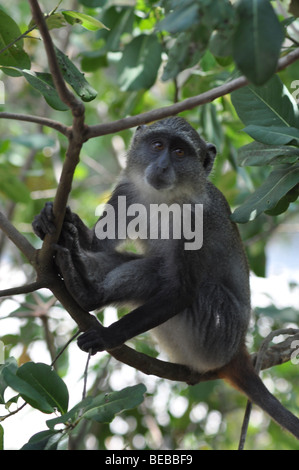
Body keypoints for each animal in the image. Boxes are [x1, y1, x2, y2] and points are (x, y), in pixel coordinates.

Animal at [32, 117, 299, 440]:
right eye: (158, 145)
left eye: (180, 152)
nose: (161, 166)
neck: (165, 198)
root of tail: (237, 352)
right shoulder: (127, 192)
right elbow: (98, 245)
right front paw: (51, 221)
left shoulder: (196, 218)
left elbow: (183, 291)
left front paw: (107, 336)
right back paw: (79, 283)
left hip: (215, 336)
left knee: (186, 282)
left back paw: (86, 294)